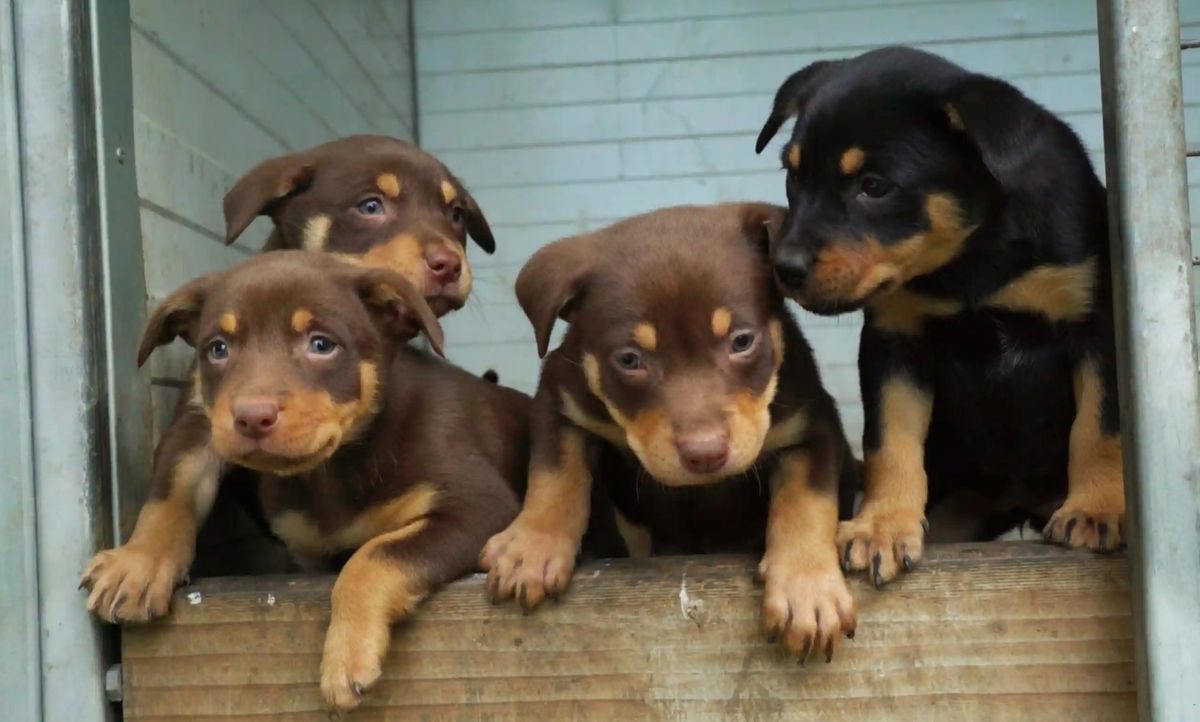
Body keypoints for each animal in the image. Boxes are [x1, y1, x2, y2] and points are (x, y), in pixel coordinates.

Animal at [83, 133, 496, 618]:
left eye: (456, 215)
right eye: (370, 206)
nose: (448, 264)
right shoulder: (198, 420)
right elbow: (170, 492)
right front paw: (139, 562)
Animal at [87, 251, 525, 710]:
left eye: (322, 345)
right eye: (218, 349)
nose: (251, 417)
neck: (329, 471)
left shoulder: (478, 506)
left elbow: (373, 555)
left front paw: (346, 657)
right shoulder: (201, 429)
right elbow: (173, 488)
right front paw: (139, 562)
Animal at [482, 202, 859, 657]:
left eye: (742, 341)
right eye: (629, 360)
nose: (705, 454)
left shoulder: (813, 425)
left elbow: (806, 502)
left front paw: (807, 591)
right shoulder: (561, 399)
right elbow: (554, 474)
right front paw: (531, 548)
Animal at [758, 44, 1123, 585]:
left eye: (874, 186)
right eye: (792, 175)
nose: (784, 267)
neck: (970, 261)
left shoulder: (1095, 327)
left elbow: (1100, 427)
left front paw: (1097, 508)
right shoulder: (897, 342)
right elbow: (891, 440)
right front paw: (882, 526)